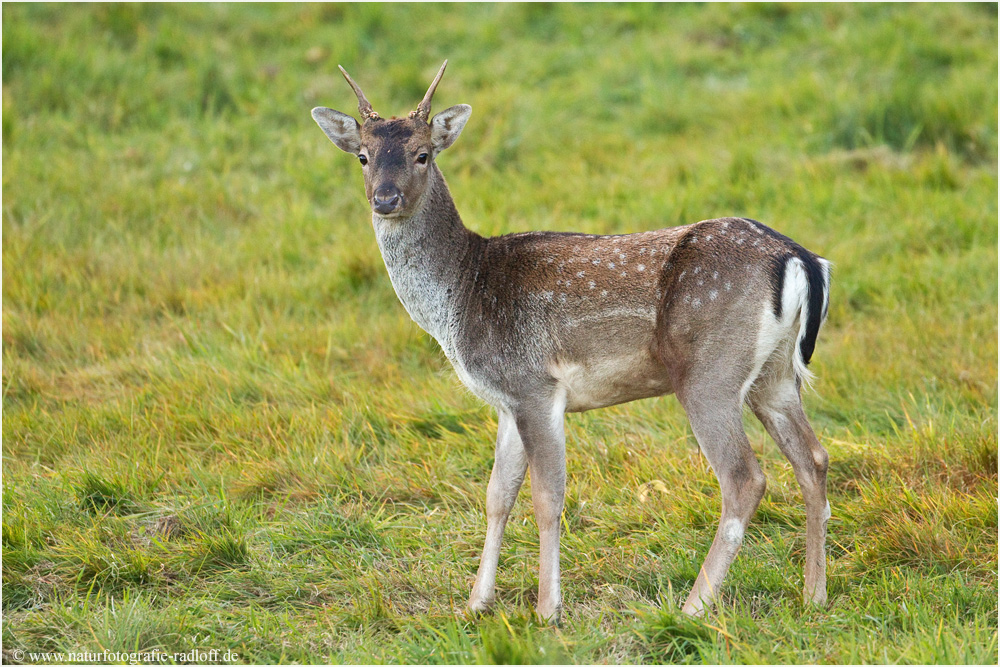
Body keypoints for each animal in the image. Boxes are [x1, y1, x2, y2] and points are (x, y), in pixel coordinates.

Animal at [312, 62, 836, 628]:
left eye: (423, 153)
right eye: (363, 156)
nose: (385, 199)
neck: (462, 293)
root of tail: (801, 260)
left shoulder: (535, 385)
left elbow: (547, 497)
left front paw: (548, 610)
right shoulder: (506, 400)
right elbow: (497, 494)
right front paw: (476, 603)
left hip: (709, 372)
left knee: (745, 478)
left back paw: (692, 606)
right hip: (774, 375)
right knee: (813, 458)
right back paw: (813, 595)